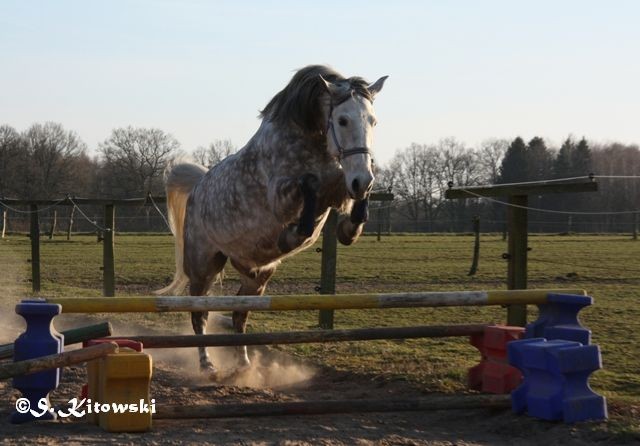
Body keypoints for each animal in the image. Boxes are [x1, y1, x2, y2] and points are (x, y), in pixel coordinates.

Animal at [158, 64, 388, 374]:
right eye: (342, 120)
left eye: (373, 122)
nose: (361, 180)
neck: (310, 139)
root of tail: (197, 189)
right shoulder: (282, 196)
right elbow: (308, 186)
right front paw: (295, 232)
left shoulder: (338, 183)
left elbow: (341, 194)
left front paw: (349, 227)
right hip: (203, 266)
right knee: (200, 314)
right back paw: (207, 364)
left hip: (256, 276)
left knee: (239, 314)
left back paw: (244, 364)